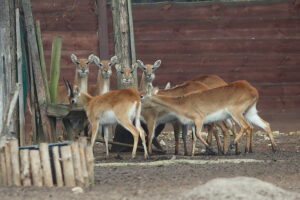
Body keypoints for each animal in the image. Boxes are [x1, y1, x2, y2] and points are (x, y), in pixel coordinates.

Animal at [142, 80, 278, 155]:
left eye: (142, 95)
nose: (138, 105)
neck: (183, 103)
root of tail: (253, 90)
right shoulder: (190, 123)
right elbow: (189, 137)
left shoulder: (199, 119)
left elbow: (197, 135)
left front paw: (211, 150)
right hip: (250, 112)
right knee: (265, 124)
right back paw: (274, 148)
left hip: (236, 113)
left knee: (245, 126)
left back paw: (232, 146)